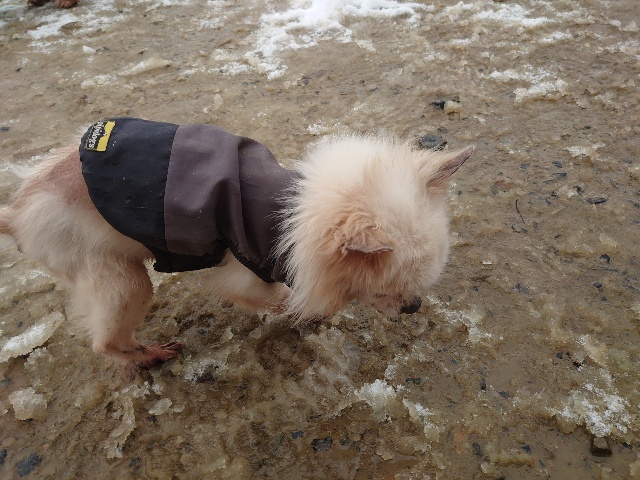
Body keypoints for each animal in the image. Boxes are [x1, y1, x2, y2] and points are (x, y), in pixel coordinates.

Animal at [0, 118, 472, 373]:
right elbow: (274, 298)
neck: (291, 214)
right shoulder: (244, 271)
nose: (414, 307)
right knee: (106, 341)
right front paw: (300, 312)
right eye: (389, 290)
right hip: (121, 277)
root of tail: (17, 210)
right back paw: (150, 354)